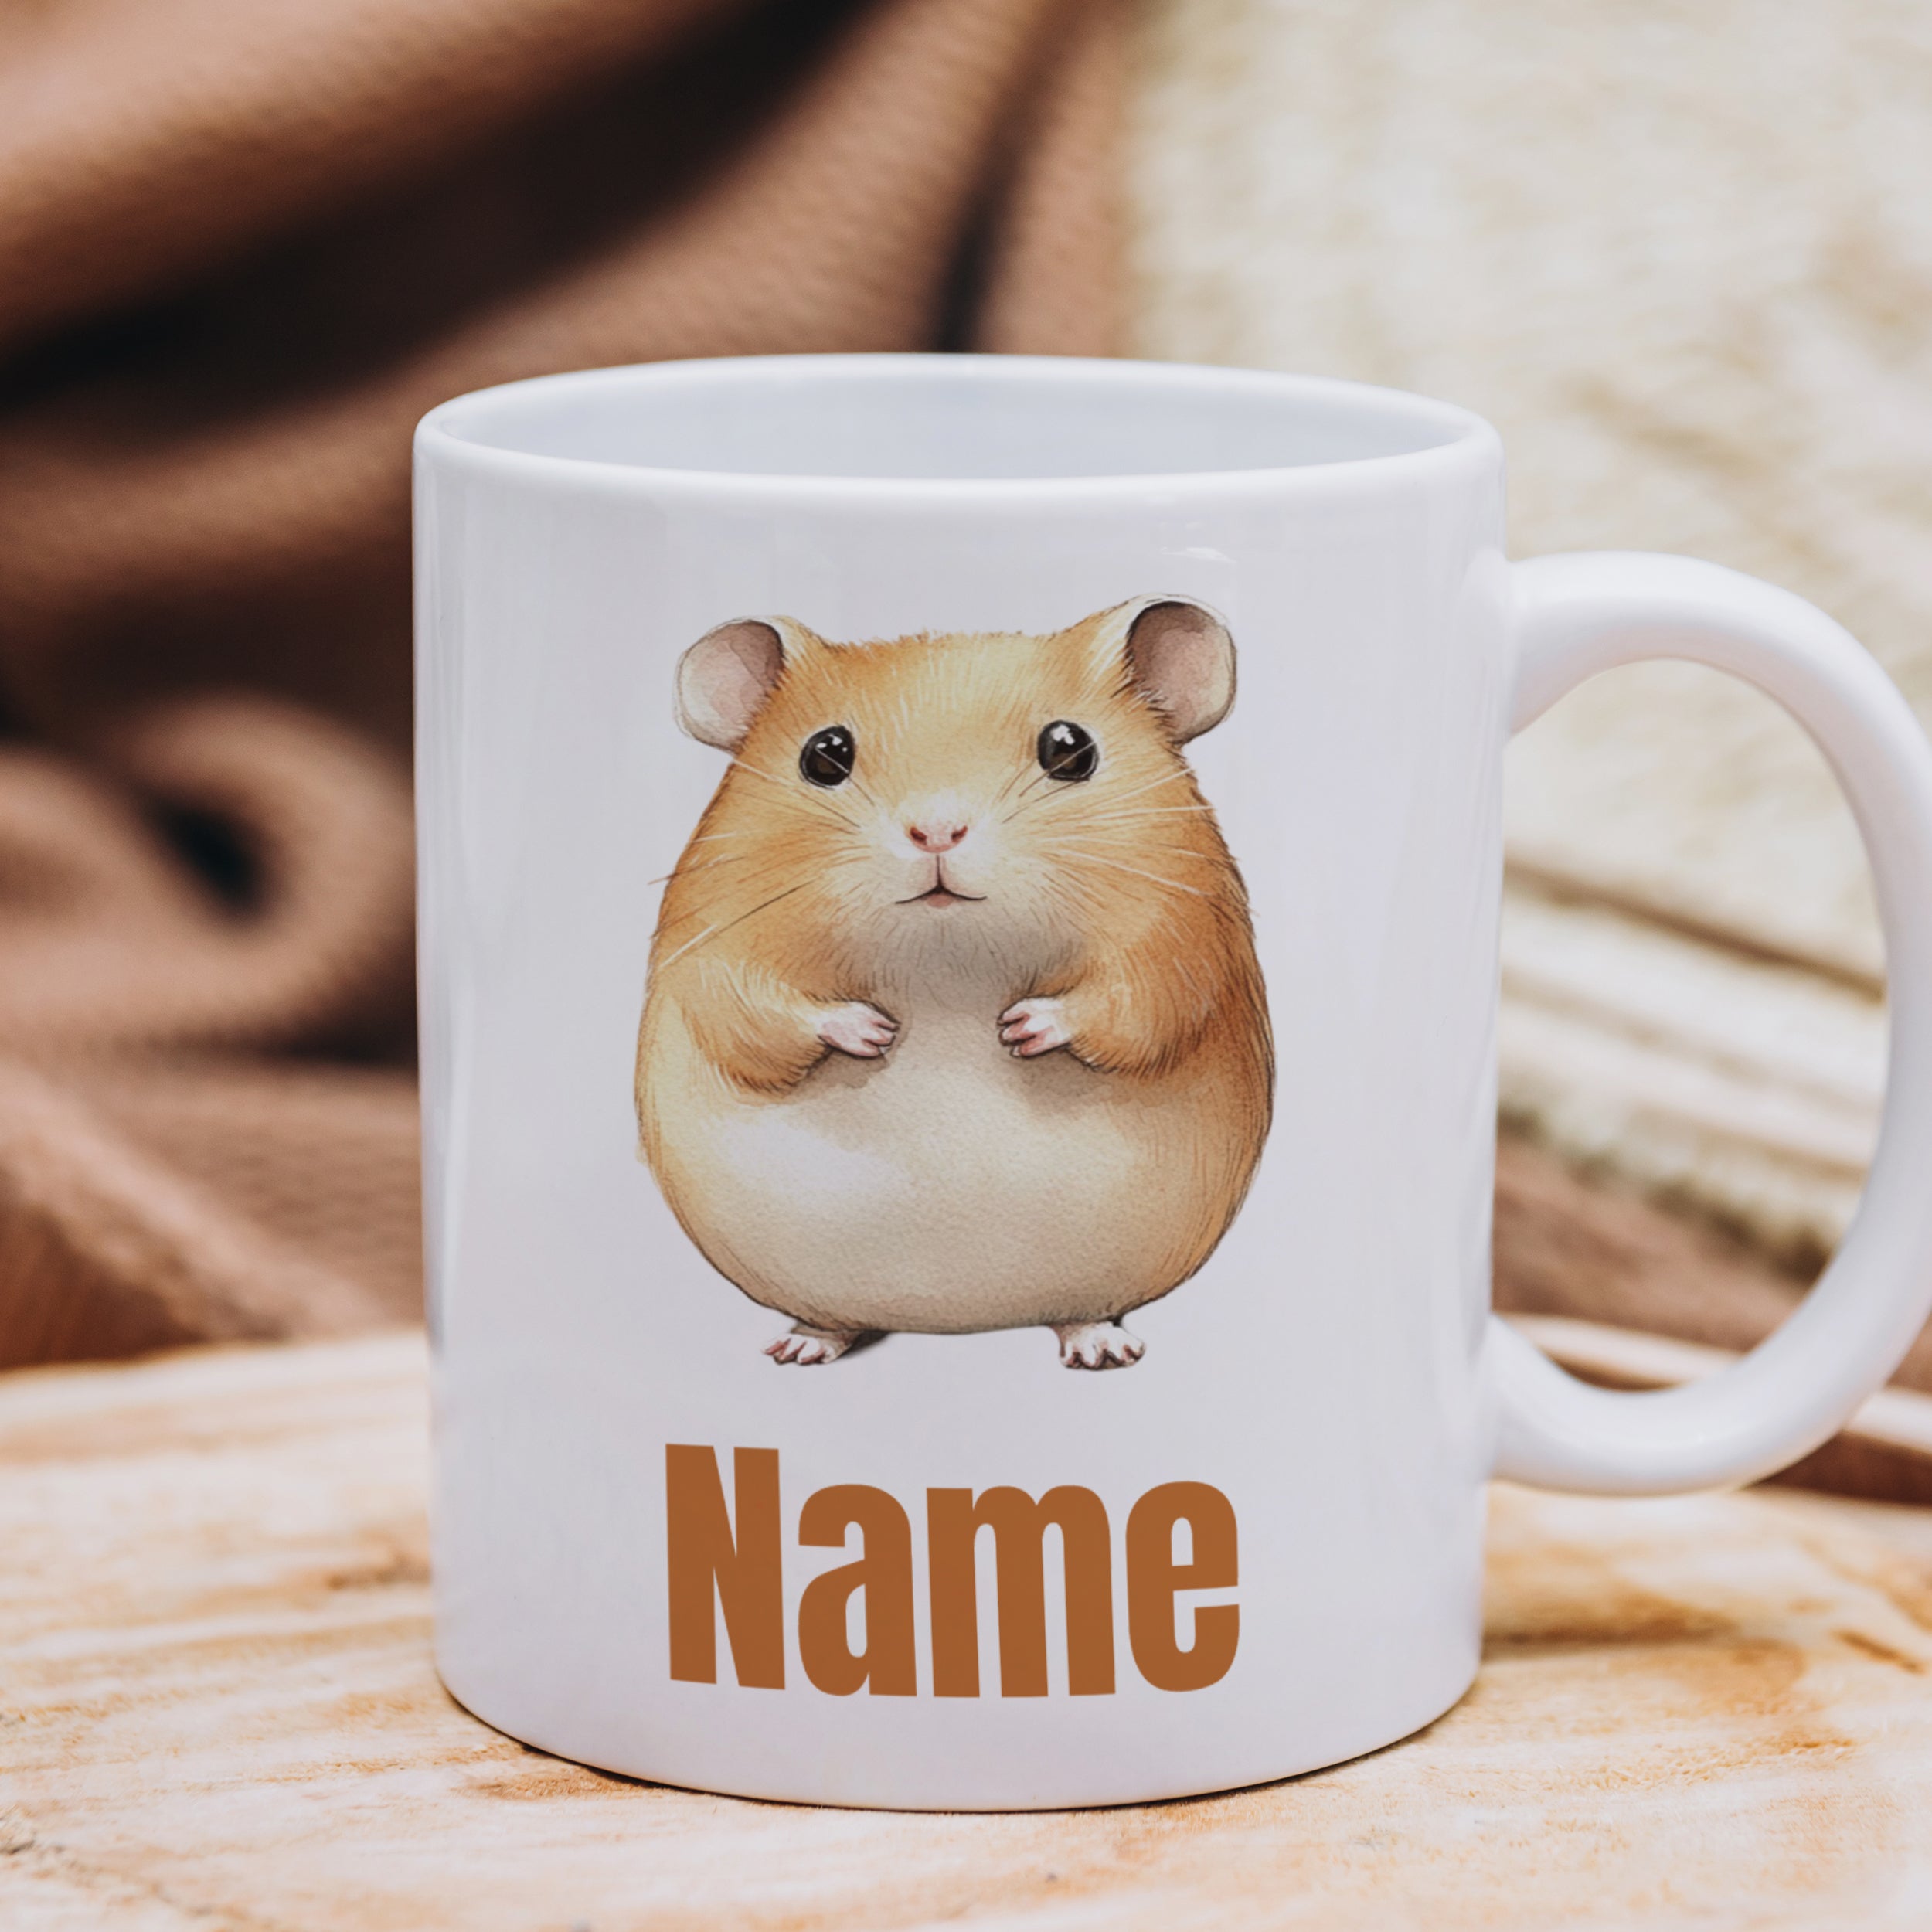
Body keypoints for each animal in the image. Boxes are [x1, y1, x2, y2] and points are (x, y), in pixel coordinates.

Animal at [634, 596, 1273, 1369]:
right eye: (824, 754)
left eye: (1070, 749)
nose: (936, 831)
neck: (947, 964)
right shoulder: (712, 938)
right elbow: (753, 1012)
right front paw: (875, 1032)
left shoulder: (1182, 934)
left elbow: (1135, 1004)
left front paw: (1020, 1029)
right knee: (831, 1319)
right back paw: (800, 1347)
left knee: (1083, 1313)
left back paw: (1102, 1350)